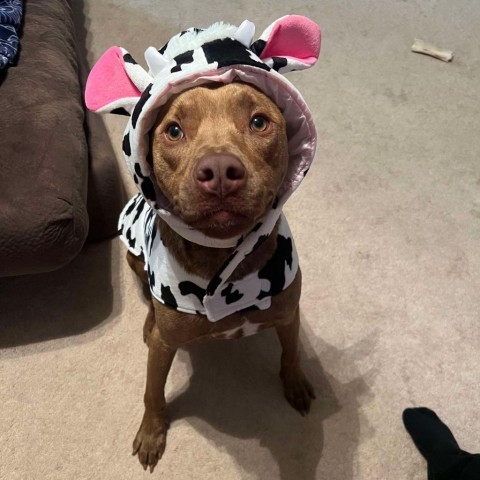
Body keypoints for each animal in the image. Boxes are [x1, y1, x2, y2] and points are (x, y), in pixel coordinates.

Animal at [127, 83, 316, 472]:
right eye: (174, 130)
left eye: (258, 122)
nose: (218, 169)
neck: (223, 259)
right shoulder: (165, 346)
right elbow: (153, 391)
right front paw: (152, 432)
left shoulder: (287, 314)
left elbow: (291, 353)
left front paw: (295, 383)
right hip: (132, 256)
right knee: (148, 292)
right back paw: (150, 320)